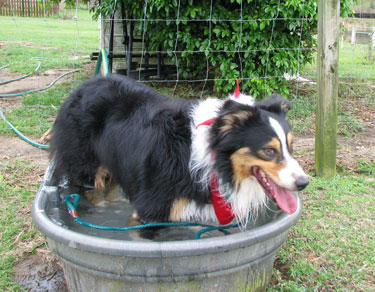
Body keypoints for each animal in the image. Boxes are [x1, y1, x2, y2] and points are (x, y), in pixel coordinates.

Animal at [51, 74, 310, 227]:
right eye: (269, 151)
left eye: (291, 146)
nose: (303, 183)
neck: (214, 159)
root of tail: (83, 86)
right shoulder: (154, 207)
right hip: (83, 164)